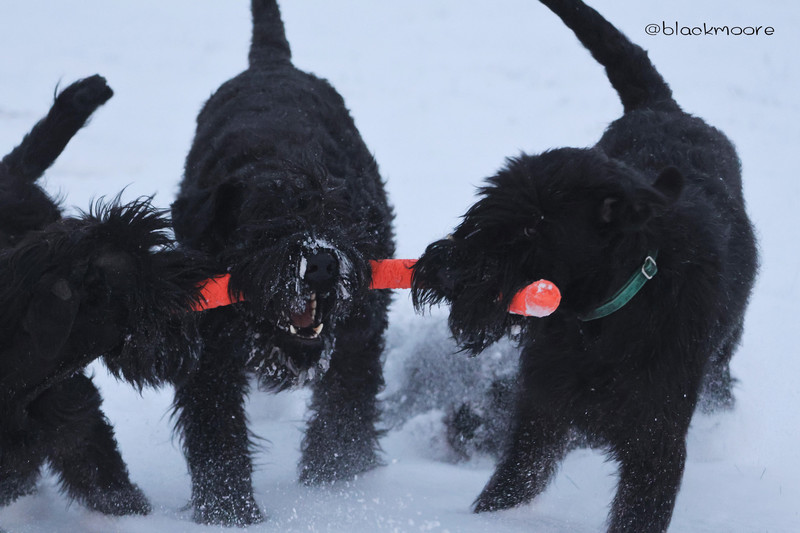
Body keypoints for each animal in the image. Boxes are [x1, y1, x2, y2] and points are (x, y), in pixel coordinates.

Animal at [171, 0, 394, 525]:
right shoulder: (208, 348)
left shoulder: (361, 328)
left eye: (338, 219)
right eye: (265, 227)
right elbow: (216, 427)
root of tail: (271, 62)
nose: (323, 264)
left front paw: (334, 482)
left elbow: (346, 403)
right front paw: (228, 511)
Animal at [411, 1, 758, 531]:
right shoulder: (541, 412)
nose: (443, 268)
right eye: (483, 208)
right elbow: (509, 484)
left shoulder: (656, 442)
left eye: (533, 228)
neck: (600, 320)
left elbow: (638, 511)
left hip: (722, 350)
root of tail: (664, 108)